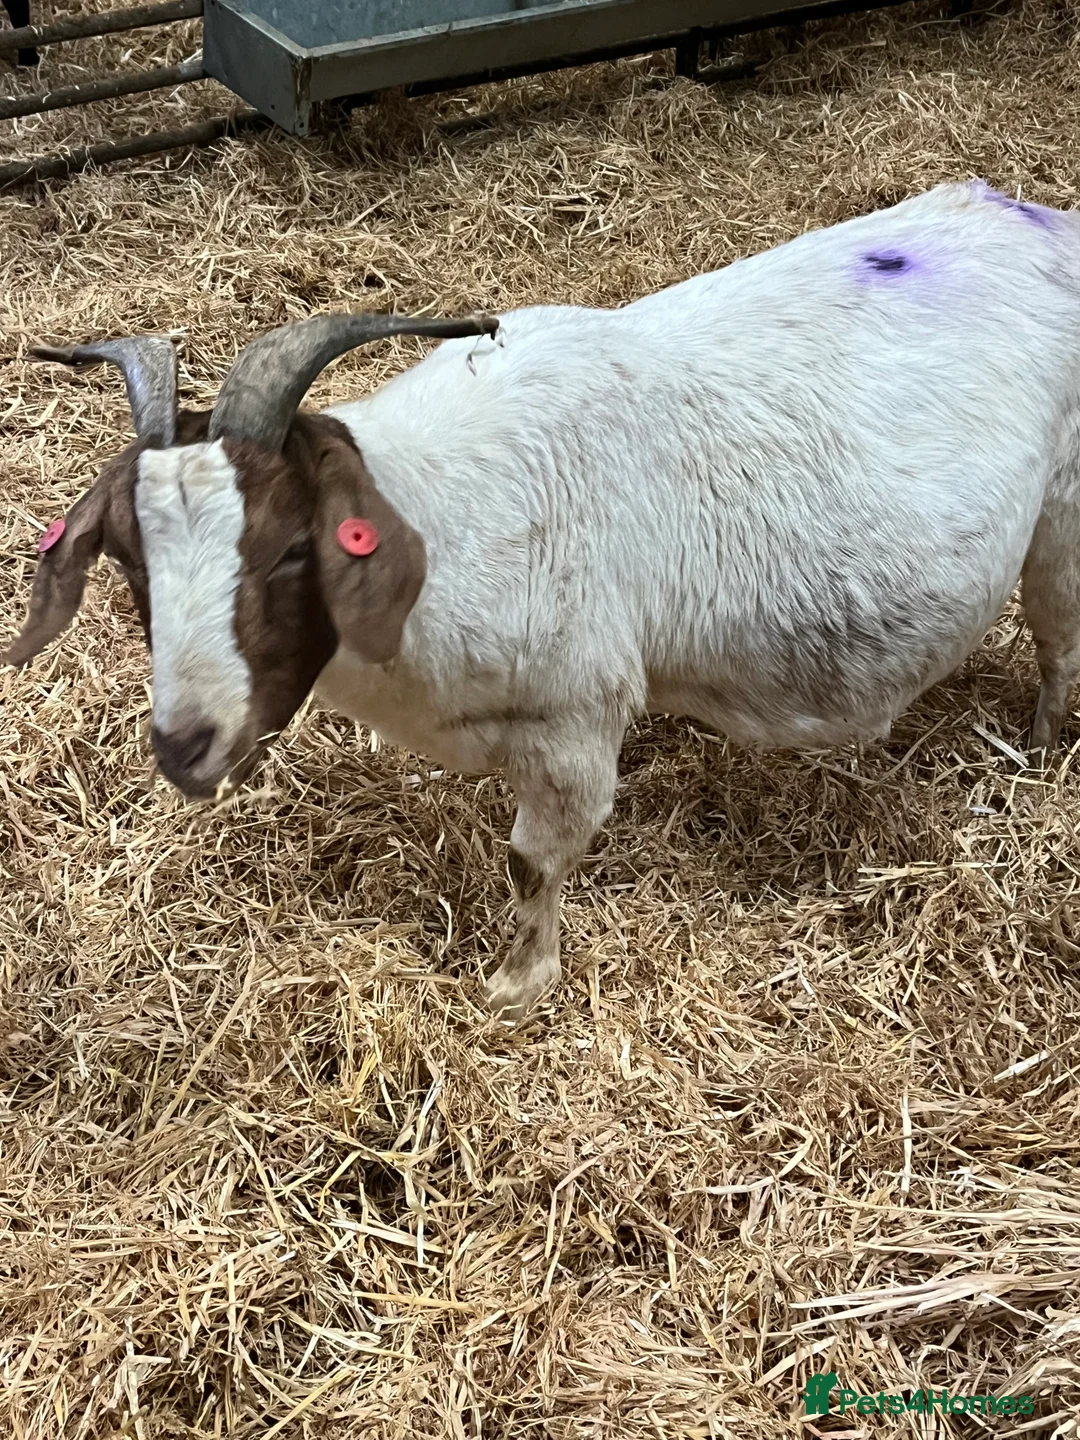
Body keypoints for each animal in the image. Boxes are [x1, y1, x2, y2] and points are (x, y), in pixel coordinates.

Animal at [7, 180, 1080, 1018]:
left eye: (290, 549)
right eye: (131, 560)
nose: (183, 745)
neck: (446, 516)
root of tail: (1024, 211)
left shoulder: (575, 720)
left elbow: (534, 861)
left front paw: (518, 987)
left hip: (1064, 510)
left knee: (1059, 639)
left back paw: (1038, 753)